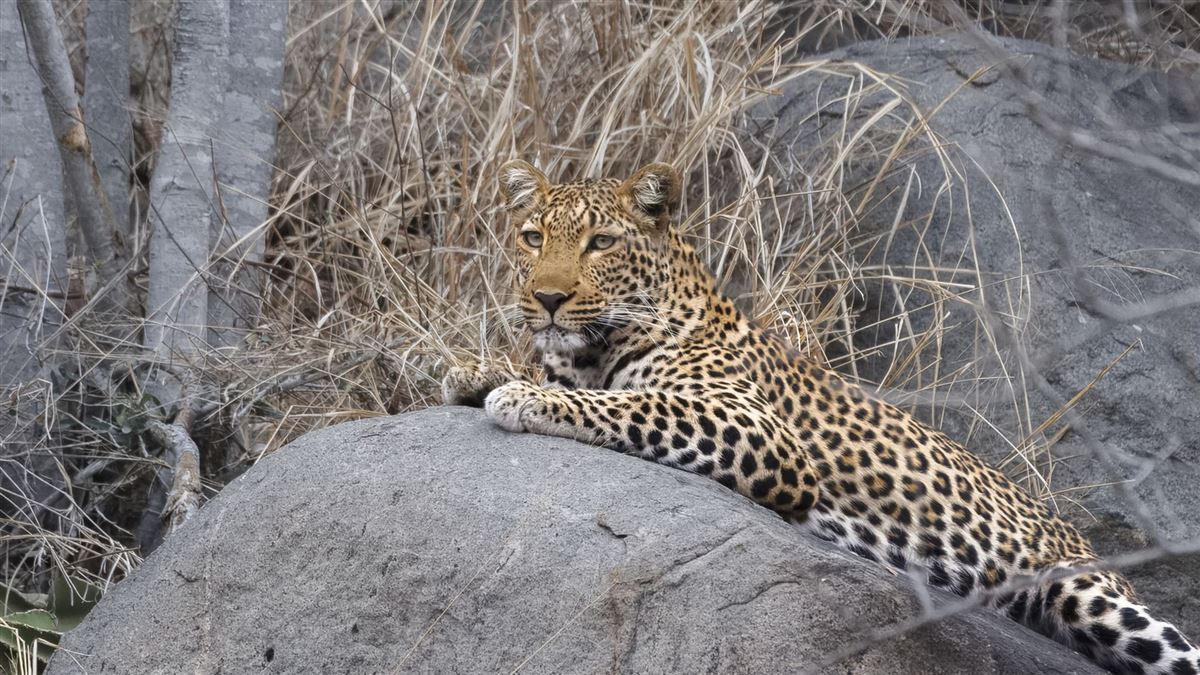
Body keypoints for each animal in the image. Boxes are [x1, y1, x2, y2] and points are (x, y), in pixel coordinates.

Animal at [442, 159, 1200, 675]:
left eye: (600, 243)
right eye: (532, 236)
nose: (545, 298)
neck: (596, 350)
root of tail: (1079, 536)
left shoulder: (759, 431)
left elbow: (637, 403)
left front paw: (529, 398)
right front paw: (477, 371)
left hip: (1086, 591)